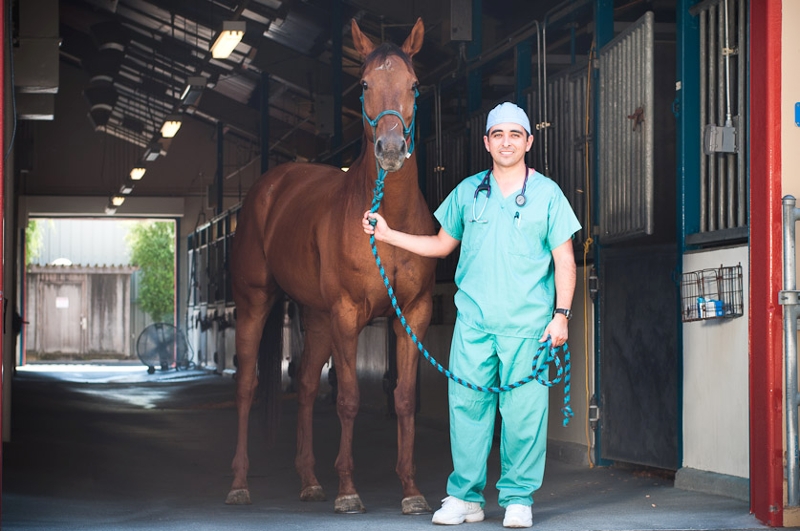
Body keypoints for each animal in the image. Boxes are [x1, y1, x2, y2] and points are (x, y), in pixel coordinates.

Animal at [225, 17, 436, 515]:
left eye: (414, 86)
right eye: (365, 84)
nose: (391, 147)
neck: (388, 220)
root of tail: (272, 183)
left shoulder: (412, 315)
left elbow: (403, 399)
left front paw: (411, 490)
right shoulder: (347, 314)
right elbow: (348, 399)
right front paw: (348, 491)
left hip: (316, 317)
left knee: (303, 387)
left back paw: (309, 480)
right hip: (256, 303)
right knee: (246, 386)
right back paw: (240, 483)